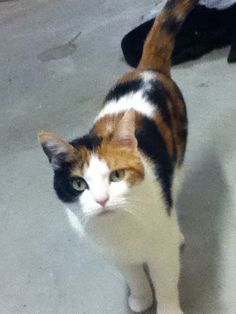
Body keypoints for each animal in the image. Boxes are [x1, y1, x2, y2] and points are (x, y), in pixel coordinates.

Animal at [39, 0, 197, 314]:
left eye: (117, 175)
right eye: (78, 184)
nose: (102, 200)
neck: (121, 226)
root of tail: (146, 70)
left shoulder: (161, 250)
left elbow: (165, 281)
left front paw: (166, 307)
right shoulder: (114, 253)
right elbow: (133, 275)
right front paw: (141, 298)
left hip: (177, 162)